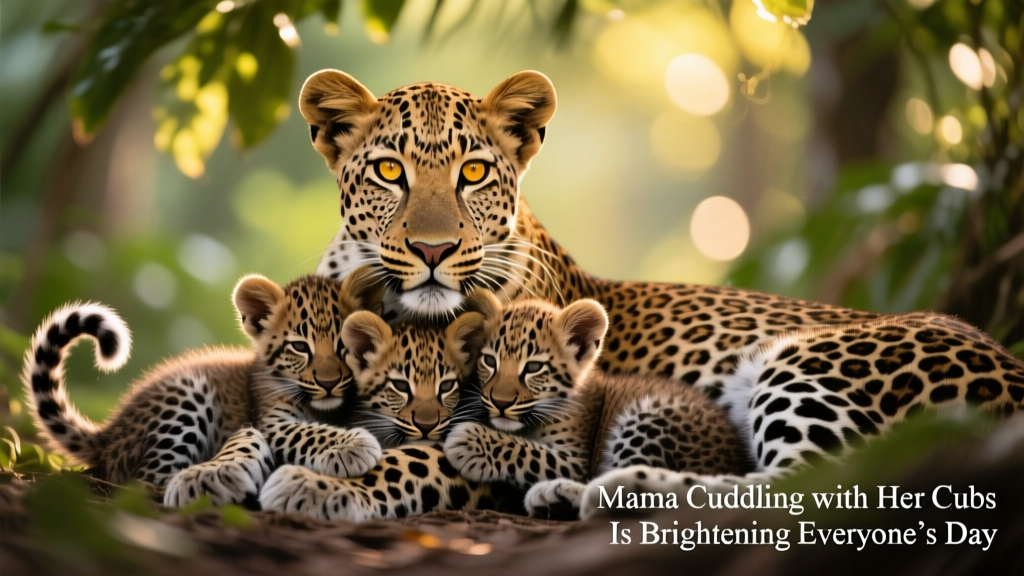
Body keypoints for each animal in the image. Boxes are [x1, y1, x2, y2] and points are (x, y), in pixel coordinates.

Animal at [22, 271, 384, 508]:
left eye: (343, 346)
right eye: (299, 347)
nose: (329, 383)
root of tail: (110, 431)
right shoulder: (271, 420)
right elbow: (307, 432)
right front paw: (354, 446)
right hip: (188, 397)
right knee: (147, 481)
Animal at [443, 291, 750, 519]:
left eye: (533, 368)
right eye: (489, 361)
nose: (500, 402)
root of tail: (735, 462)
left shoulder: (576, 460)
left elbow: (531, 453)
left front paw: (467, 440)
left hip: (650, 418)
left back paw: (557, 493)